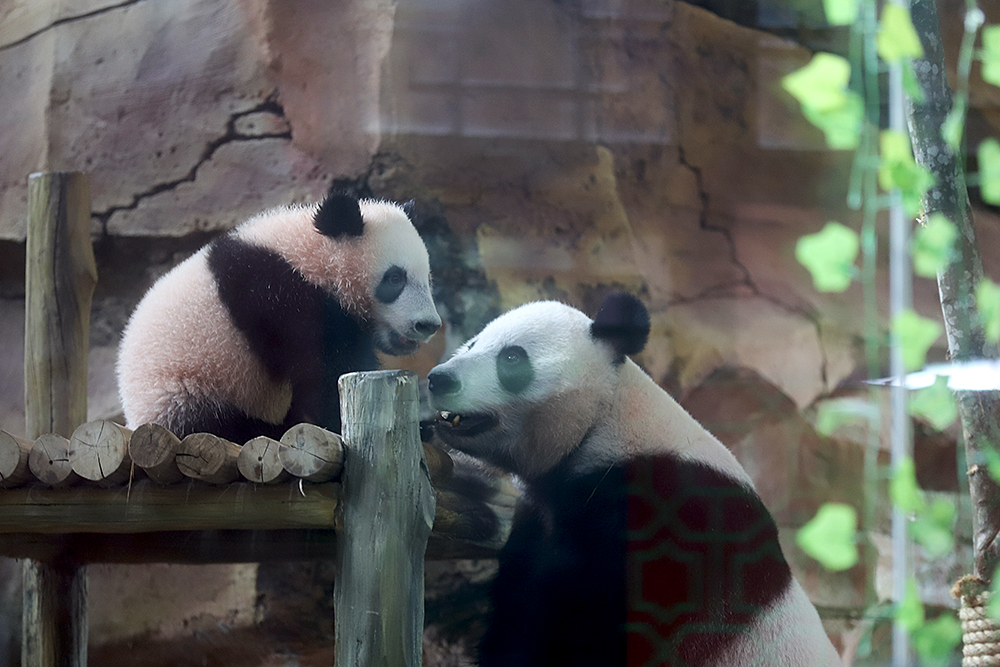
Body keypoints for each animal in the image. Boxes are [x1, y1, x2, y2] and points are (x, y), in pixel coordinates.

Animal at [117, 193, 441, 443]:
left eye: (428, 278)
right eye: (395, 279)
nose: (427, 324)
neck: (310, 257)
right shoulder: (276, 296)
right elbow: (323, 371)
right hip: (184, 390)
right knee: (216, 422)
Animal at [427, 293, 840, 667]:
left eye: (511, 357)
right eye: (473, 343)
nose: (439, 379)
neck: (604, 420)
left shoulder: (668, 516)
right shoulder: (540, 519)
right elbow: (519, 607)